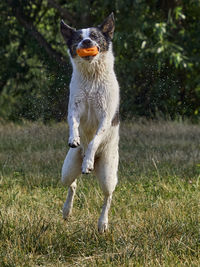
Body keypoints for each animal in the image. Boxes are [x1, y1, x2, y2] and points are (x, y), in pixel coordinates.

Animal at [59, 13, 119, 234]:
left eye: (94, 36)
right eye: (78, 38)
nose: (86, 42)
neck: (92, 77)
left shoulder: (105, 117)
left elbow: (94, 140)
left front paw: (87, 163)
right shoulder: (75, 108)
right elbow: (73, 123)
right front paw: (74, 138)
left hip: (108, 173)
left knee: (108, 197)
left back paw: (103, 224)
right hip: (67, 169)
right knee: (72, 184)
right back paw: (66, 211)